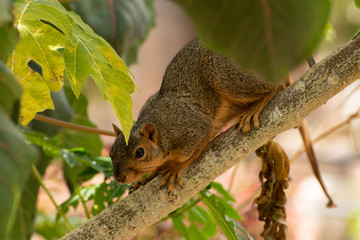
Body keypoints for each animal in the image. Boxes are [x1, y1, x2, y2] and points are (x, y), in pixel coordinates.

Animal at [111, 39, 278, 193]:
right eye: (112, 153)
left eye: (140, 152)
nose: (119, 178)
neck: (163, 130)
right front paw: (147, 178)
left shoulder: (194, 128)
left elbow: (193, 153)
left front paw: (175, 169)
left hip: (222, 72)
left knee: (273, 86)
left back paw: (255, 109)